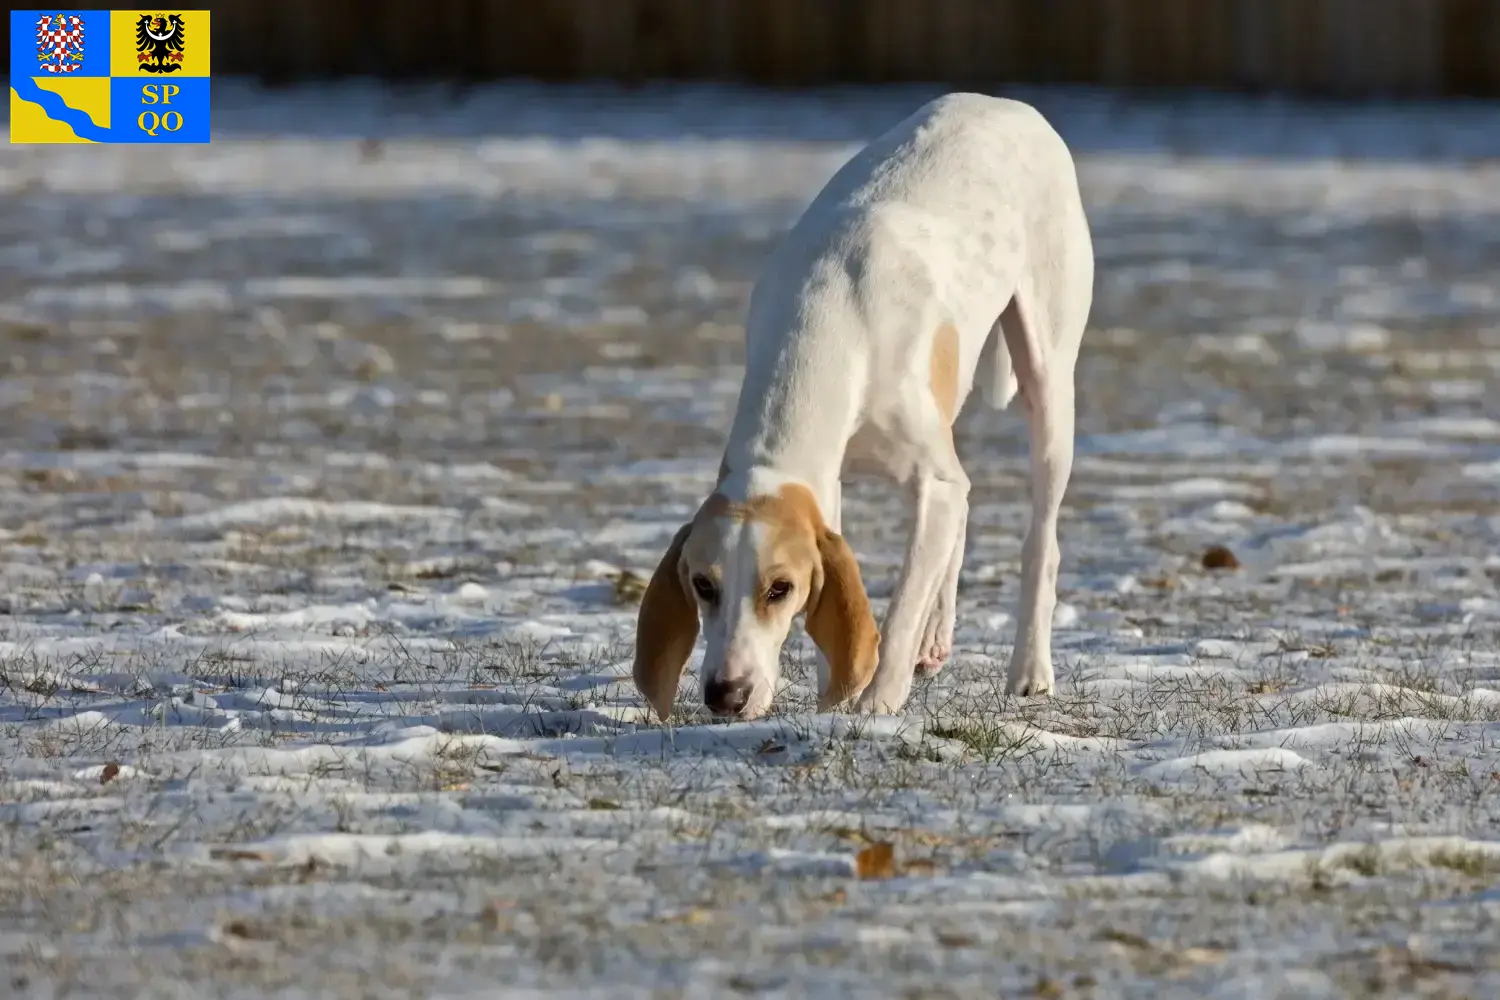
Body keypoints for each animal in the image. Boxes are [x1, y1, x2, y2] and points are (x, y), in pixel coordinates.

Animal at [630, 91, 1092, 719]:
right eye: (703, 585)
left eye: (780, 589)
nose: (727, 694)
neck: (827, 320)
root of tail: (1006, 102)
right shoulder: (829, 486)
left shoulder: (928, 478)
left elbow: (900, 609)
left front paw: (876, 704)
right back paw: (937, 638)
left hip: (1048, 387)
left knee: (1039, 540)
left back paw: (1030, 670)